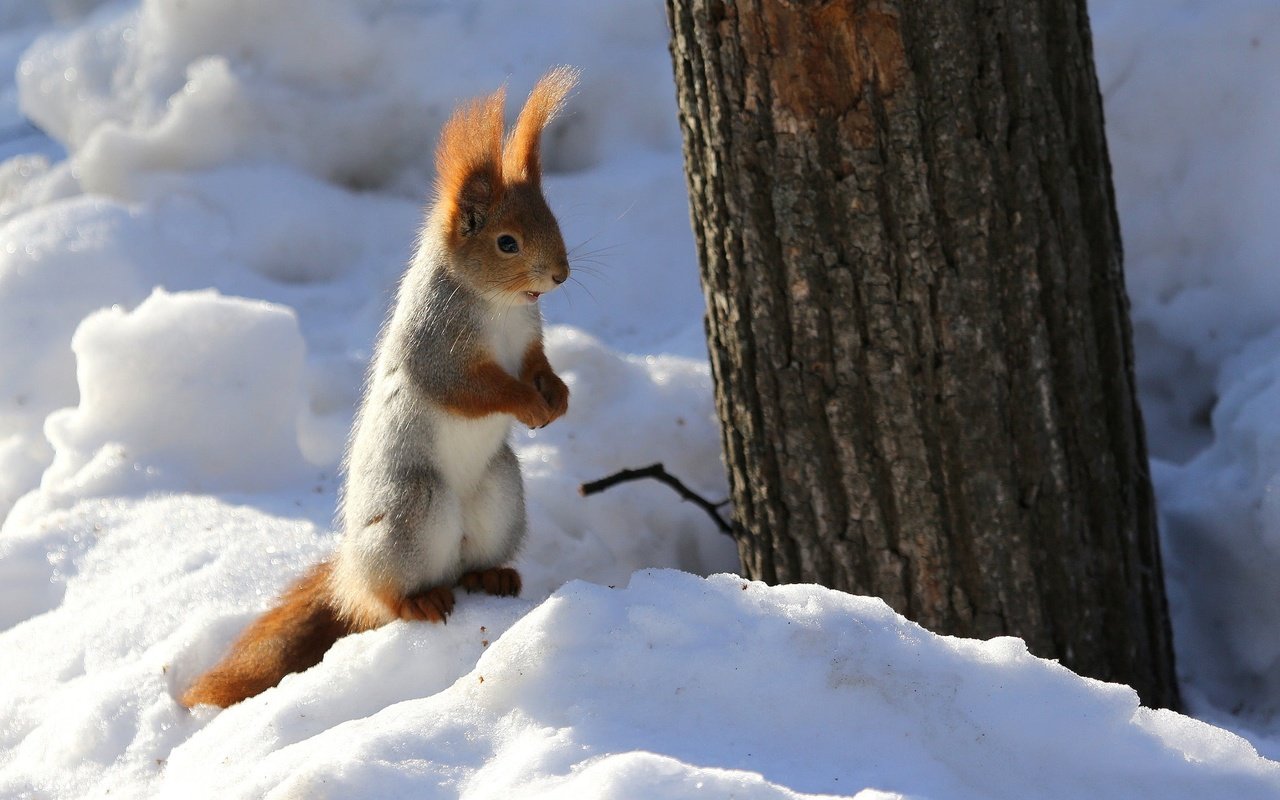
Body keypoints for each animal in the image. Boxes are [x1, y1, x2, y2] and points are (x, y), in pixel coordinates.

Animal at [177, 67, 578, 706]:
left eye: (554, 219)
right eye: (507, 242)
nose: (561, 274)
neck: (500, 307)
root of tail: (351, 574)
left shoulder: (527, 342)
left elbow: (539, 364)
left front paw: (557, 395)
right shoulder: (435, 348)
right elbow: (470, 389)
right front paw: (526, 404)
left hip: (500, 494)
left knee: (471, 563)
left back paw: (491, 574)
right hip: (412, 509)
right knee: (388, 600)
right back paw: (419, 600)